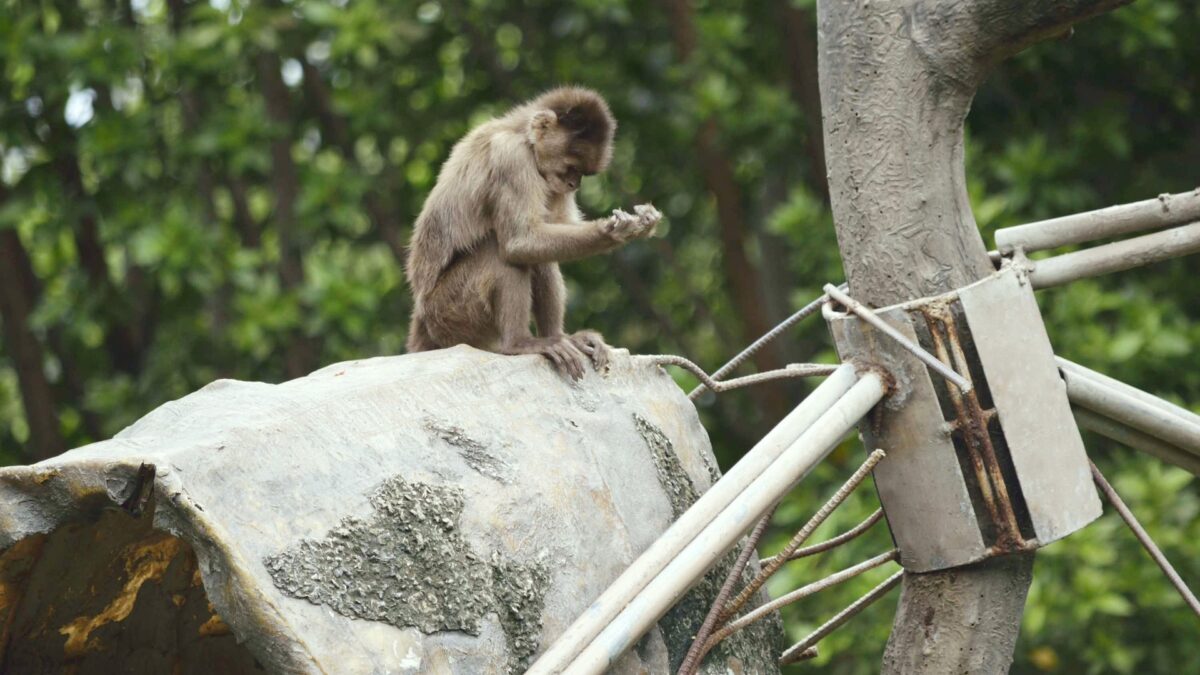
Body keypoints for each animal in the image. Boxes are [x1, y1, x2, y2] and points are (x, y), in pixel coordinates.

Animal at [408, 85, 662, 374]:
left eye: (582, 174)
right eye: (571, 168)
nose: (574, 184)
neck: (520, 134)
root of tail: (421, 317)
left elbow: (549, 231)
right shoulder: (512, 157)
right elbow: (519, 241)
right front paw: (614, 232)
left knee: (539, 256)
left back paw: (560, 337)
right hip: (448, 313)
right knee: (501, 252)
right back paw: (518, 343)